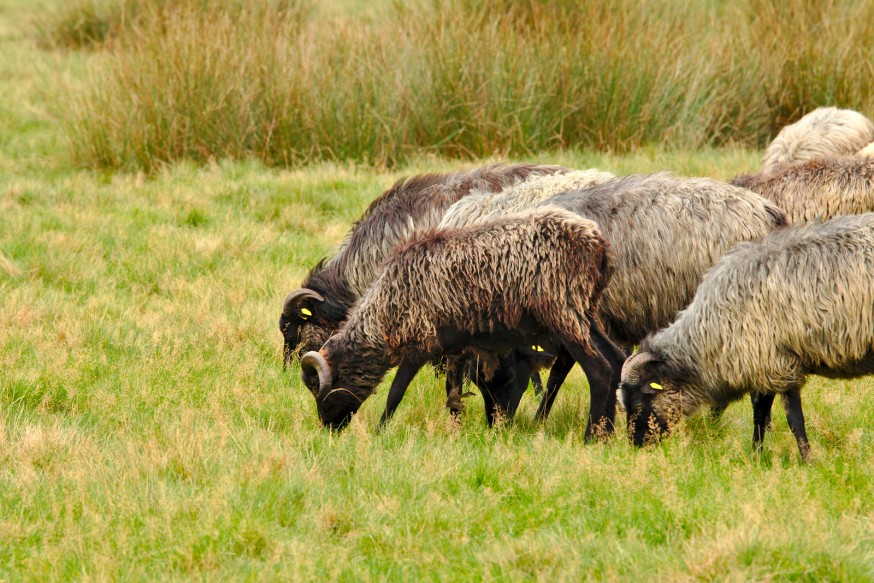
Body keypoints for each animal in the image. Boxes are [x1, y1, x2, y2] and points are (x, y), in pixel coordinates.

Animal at [300, 208, 620, 440]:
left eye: (321, 388)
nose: (328, 429)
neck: (384, 309)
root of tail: (598, 244)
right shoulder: (454, 347)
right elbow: (451, 394)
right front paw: (455, 433)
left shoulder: (419, 343)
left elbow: (395, 394)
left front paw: (380, 433)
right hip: (585, 312)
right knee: (616, 358)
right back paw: (609, 434)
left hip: (563, 313)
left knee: (600, 370)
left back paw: (591, 437)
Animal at [616, 212, 872, 458]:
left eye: (638, 400)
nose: (636, 445)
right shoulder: (767, 368)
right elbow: (760, 416)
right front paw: (757, 455)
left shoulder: (777, 365)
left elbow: (791, 420)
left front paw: (806, 459)